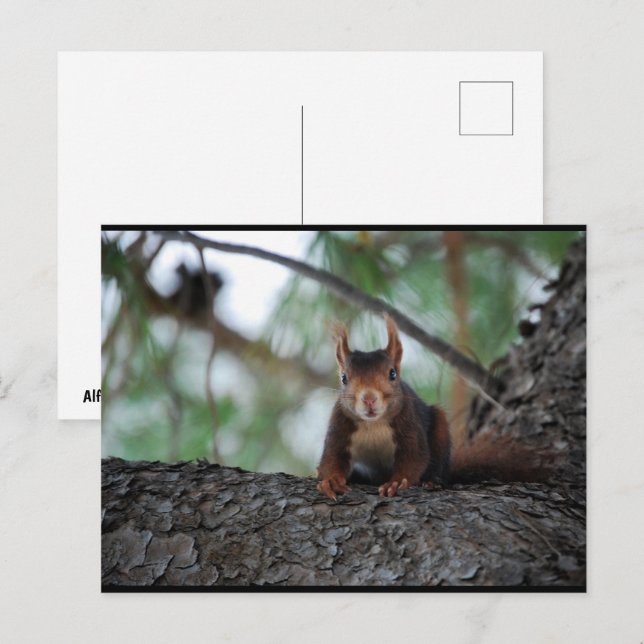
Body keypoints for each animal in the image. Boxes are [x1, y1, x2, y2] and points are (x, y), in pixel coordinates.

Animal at [317, 315, 548, 500]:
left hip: (440, 429)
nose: (369, 399)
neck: (374, 424)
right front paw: (331, 481)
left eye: (392, 373)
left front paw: (396, 482)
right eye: (344, 378)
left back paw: (433, 481)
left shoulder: (409, 424)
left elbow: (414, 457)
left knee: (438, 466)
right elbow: (332, 457)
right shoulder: (340, 425)